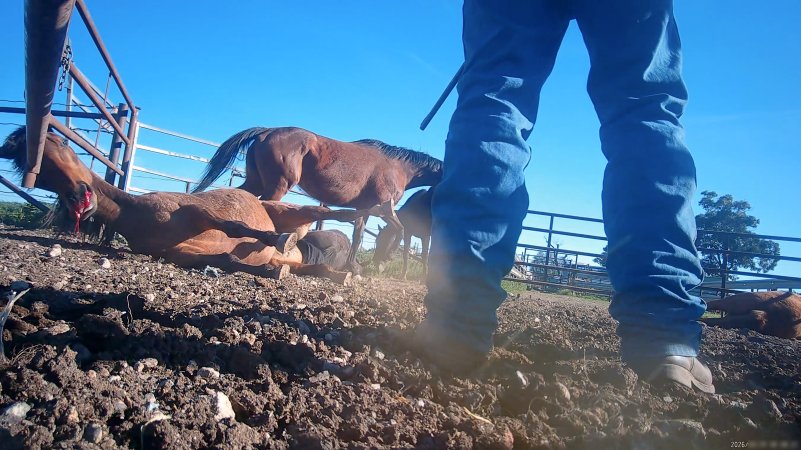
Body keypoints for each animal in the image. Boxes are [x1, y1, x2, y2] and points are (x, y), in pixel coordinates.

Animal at [0, 126, 372, 285]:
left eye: (61, 143)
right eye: (40, 175)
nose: (79, 197)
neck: (135, 214)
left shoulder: (194, 211)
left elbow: (234, 227)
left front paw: (272, 240)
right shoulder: (178, 254)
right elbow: (226, 260)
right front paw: (267, 270)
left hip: (288, 211)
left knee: (323, 212)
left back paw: (359, 217)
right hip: (295, 253)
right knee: (306, 267)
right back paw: (336, 272)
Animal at [191, 127, 442, 270]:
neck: (399, 167)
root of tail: (266, 132)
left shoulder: (365, 208)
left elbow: (358, 235)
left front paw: (353, 267)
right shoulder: (384, 208)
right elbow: (399, 229)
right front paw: (382, 260)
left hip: (255, 182)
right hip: (278, 185)